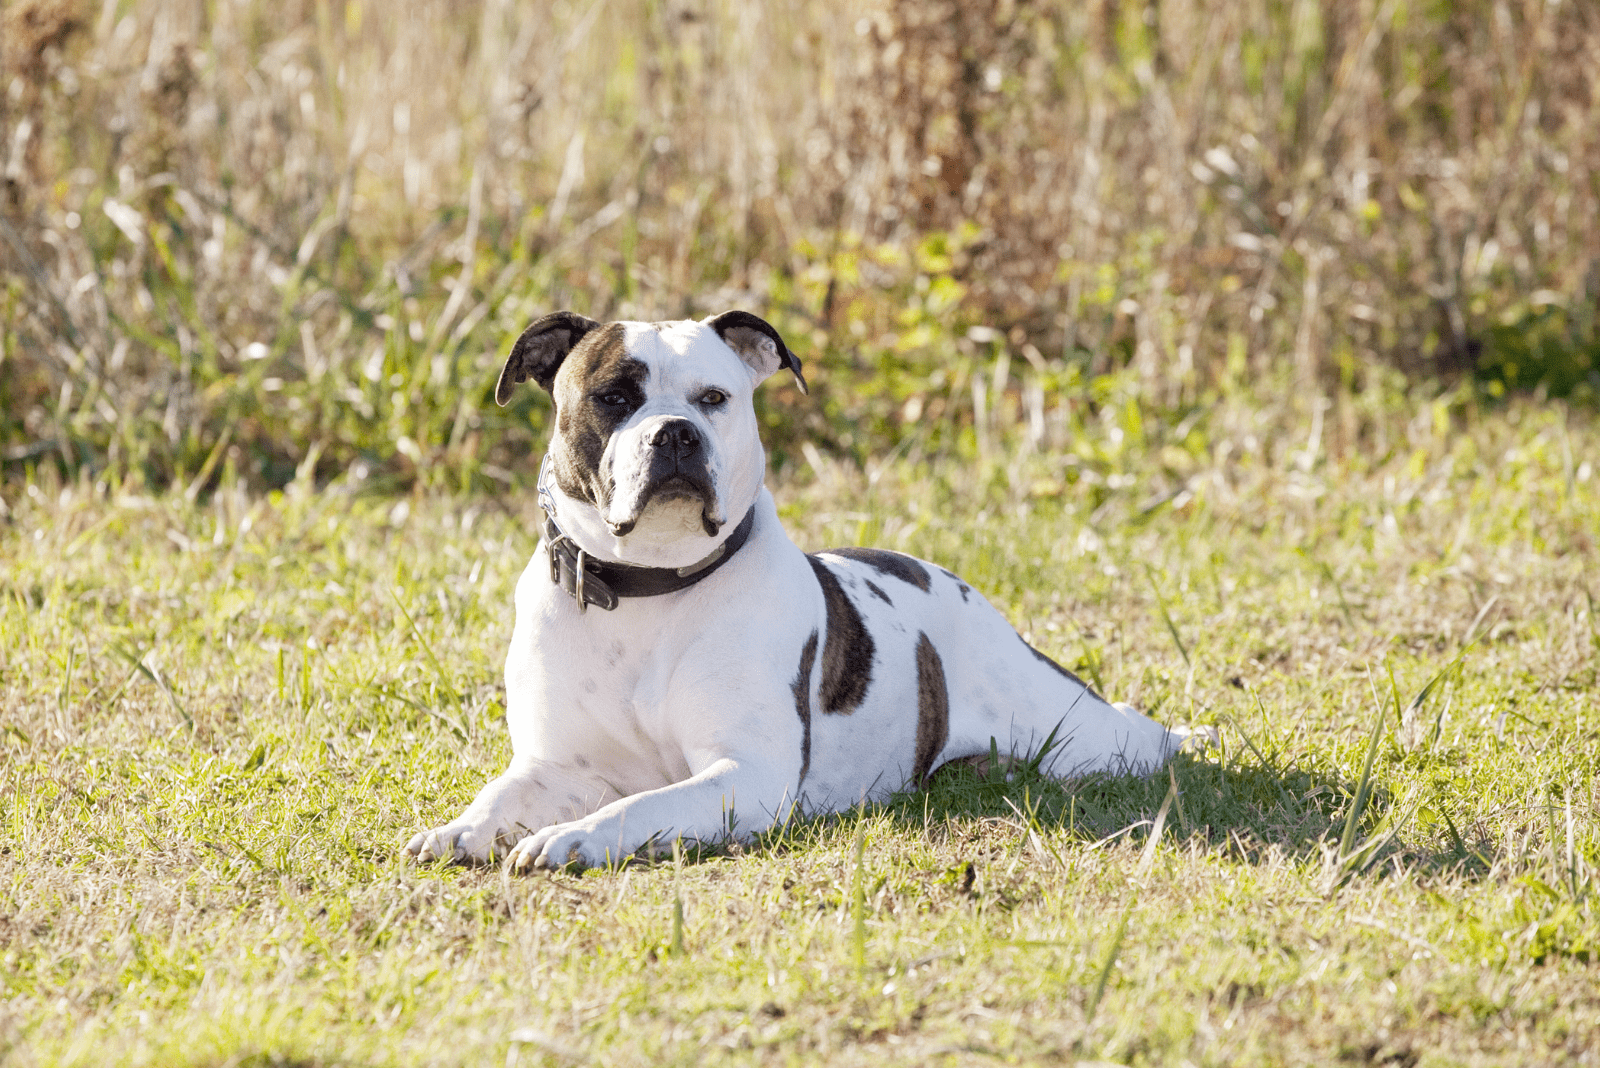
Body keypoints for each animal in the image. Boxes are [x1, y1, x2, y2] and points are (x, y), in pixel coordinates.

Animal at [406, 308, 1184, 869]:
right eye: (614, 396)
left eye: (714, 399)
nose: (676, 433)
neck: (649, 587)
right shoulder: (556, 766)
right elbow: (499, 793)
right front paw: (461, 829)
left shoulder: (744, 774)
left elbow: (643, 807)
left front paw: (576, 838)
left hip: (1082, 735)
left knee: (1138, 734)